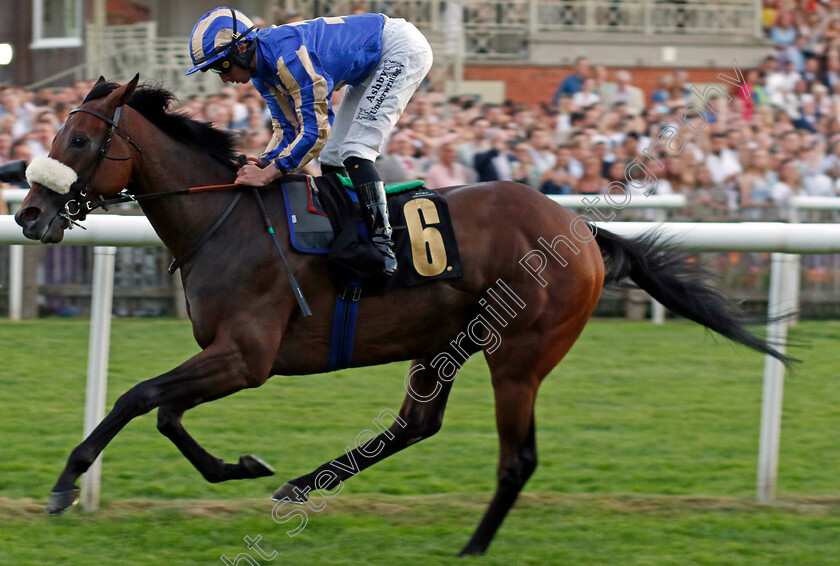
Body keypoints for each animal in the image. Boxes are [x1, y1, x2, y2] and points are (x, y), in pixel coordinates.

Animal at [13, 76, 788, 560]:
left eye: (77, 142)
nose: (28, 214)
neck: (222, 218)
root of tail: (579, 228)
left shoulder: (247, 356)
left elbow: (137, 396)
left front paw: (65, 483)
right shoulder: (229, 356)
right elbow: (167, 414)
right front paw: (242, 465)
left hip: (520, 354)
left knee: (516, 457)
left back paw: (472, 547)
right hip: (445, 342)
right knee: (417, 424)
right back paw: (305, 484)